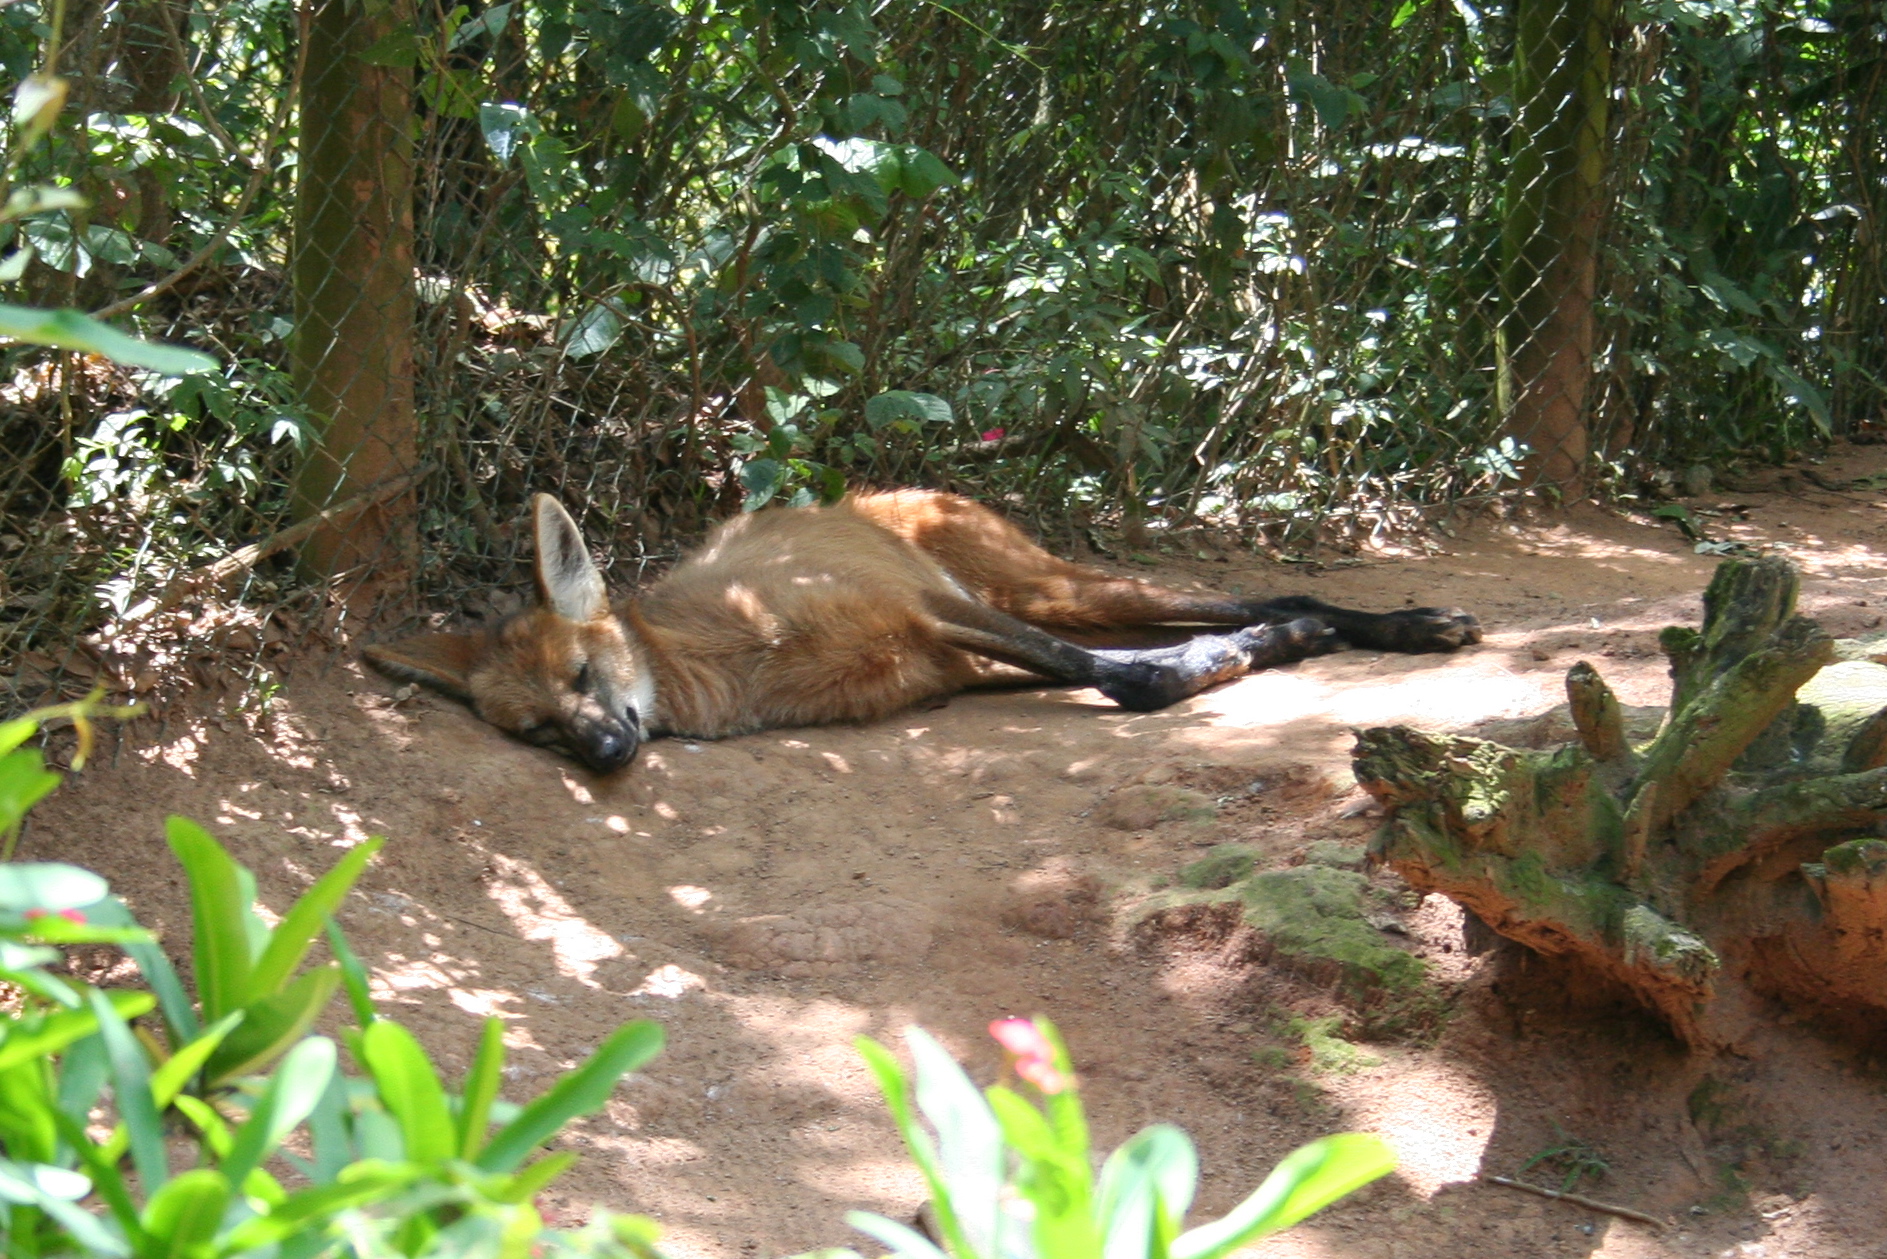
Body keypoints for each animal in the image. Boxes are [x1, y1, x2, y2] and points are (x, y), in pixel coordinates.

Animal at [367, 490, 1479, 770]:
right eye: (539, 729)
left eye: (583, 673)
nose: (601, 752)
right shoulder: (944, 660)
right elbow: (1115, 673)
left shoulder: (925, 612)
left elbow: (1134, 678)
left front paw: (1213, 667)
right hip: (1030, 603)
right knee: (1223, 604)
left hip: (1032, 586)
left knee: (1226, 598)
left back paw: (1384, 623)